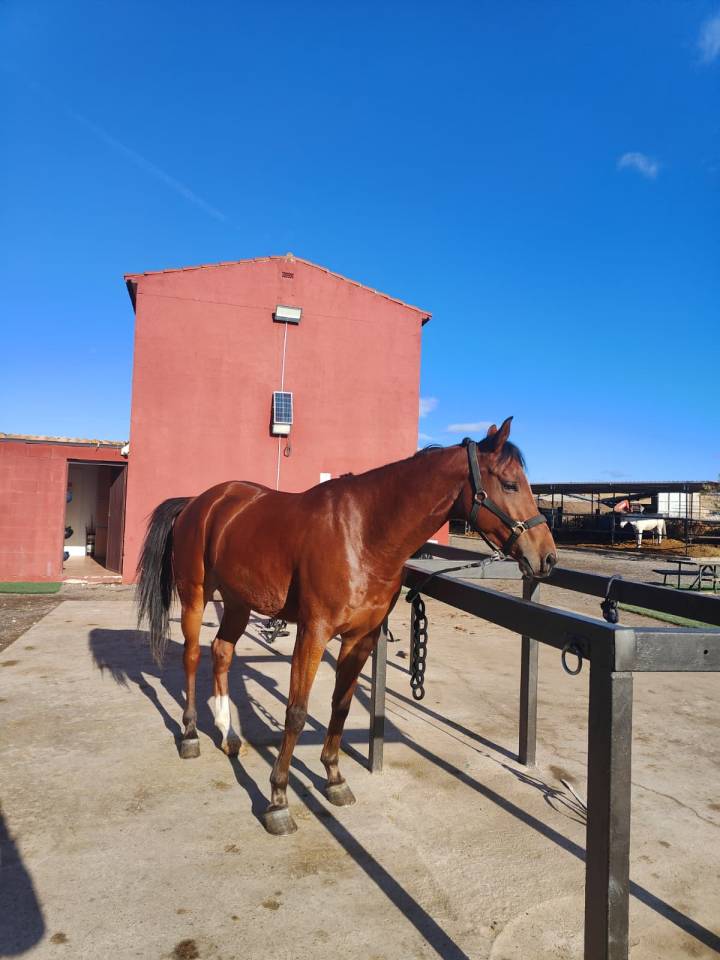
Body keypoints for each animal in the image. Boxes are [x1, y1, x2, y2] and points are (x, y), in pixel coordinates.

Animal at [136, 417, 557, 835]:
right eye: (510, 484)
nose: (547, 557)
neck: (364, 534)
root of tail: (200, 502)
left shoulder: (361, 638)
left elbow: (341, 705)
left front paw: (334, 778)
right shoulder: (313, 632)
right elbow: (296, 712)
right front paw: (278, 799)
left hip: (239, 602)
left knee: (222, 652)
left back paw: (227, 734)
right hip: (196, 595)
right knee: (193, 656)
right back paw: (190, 734)